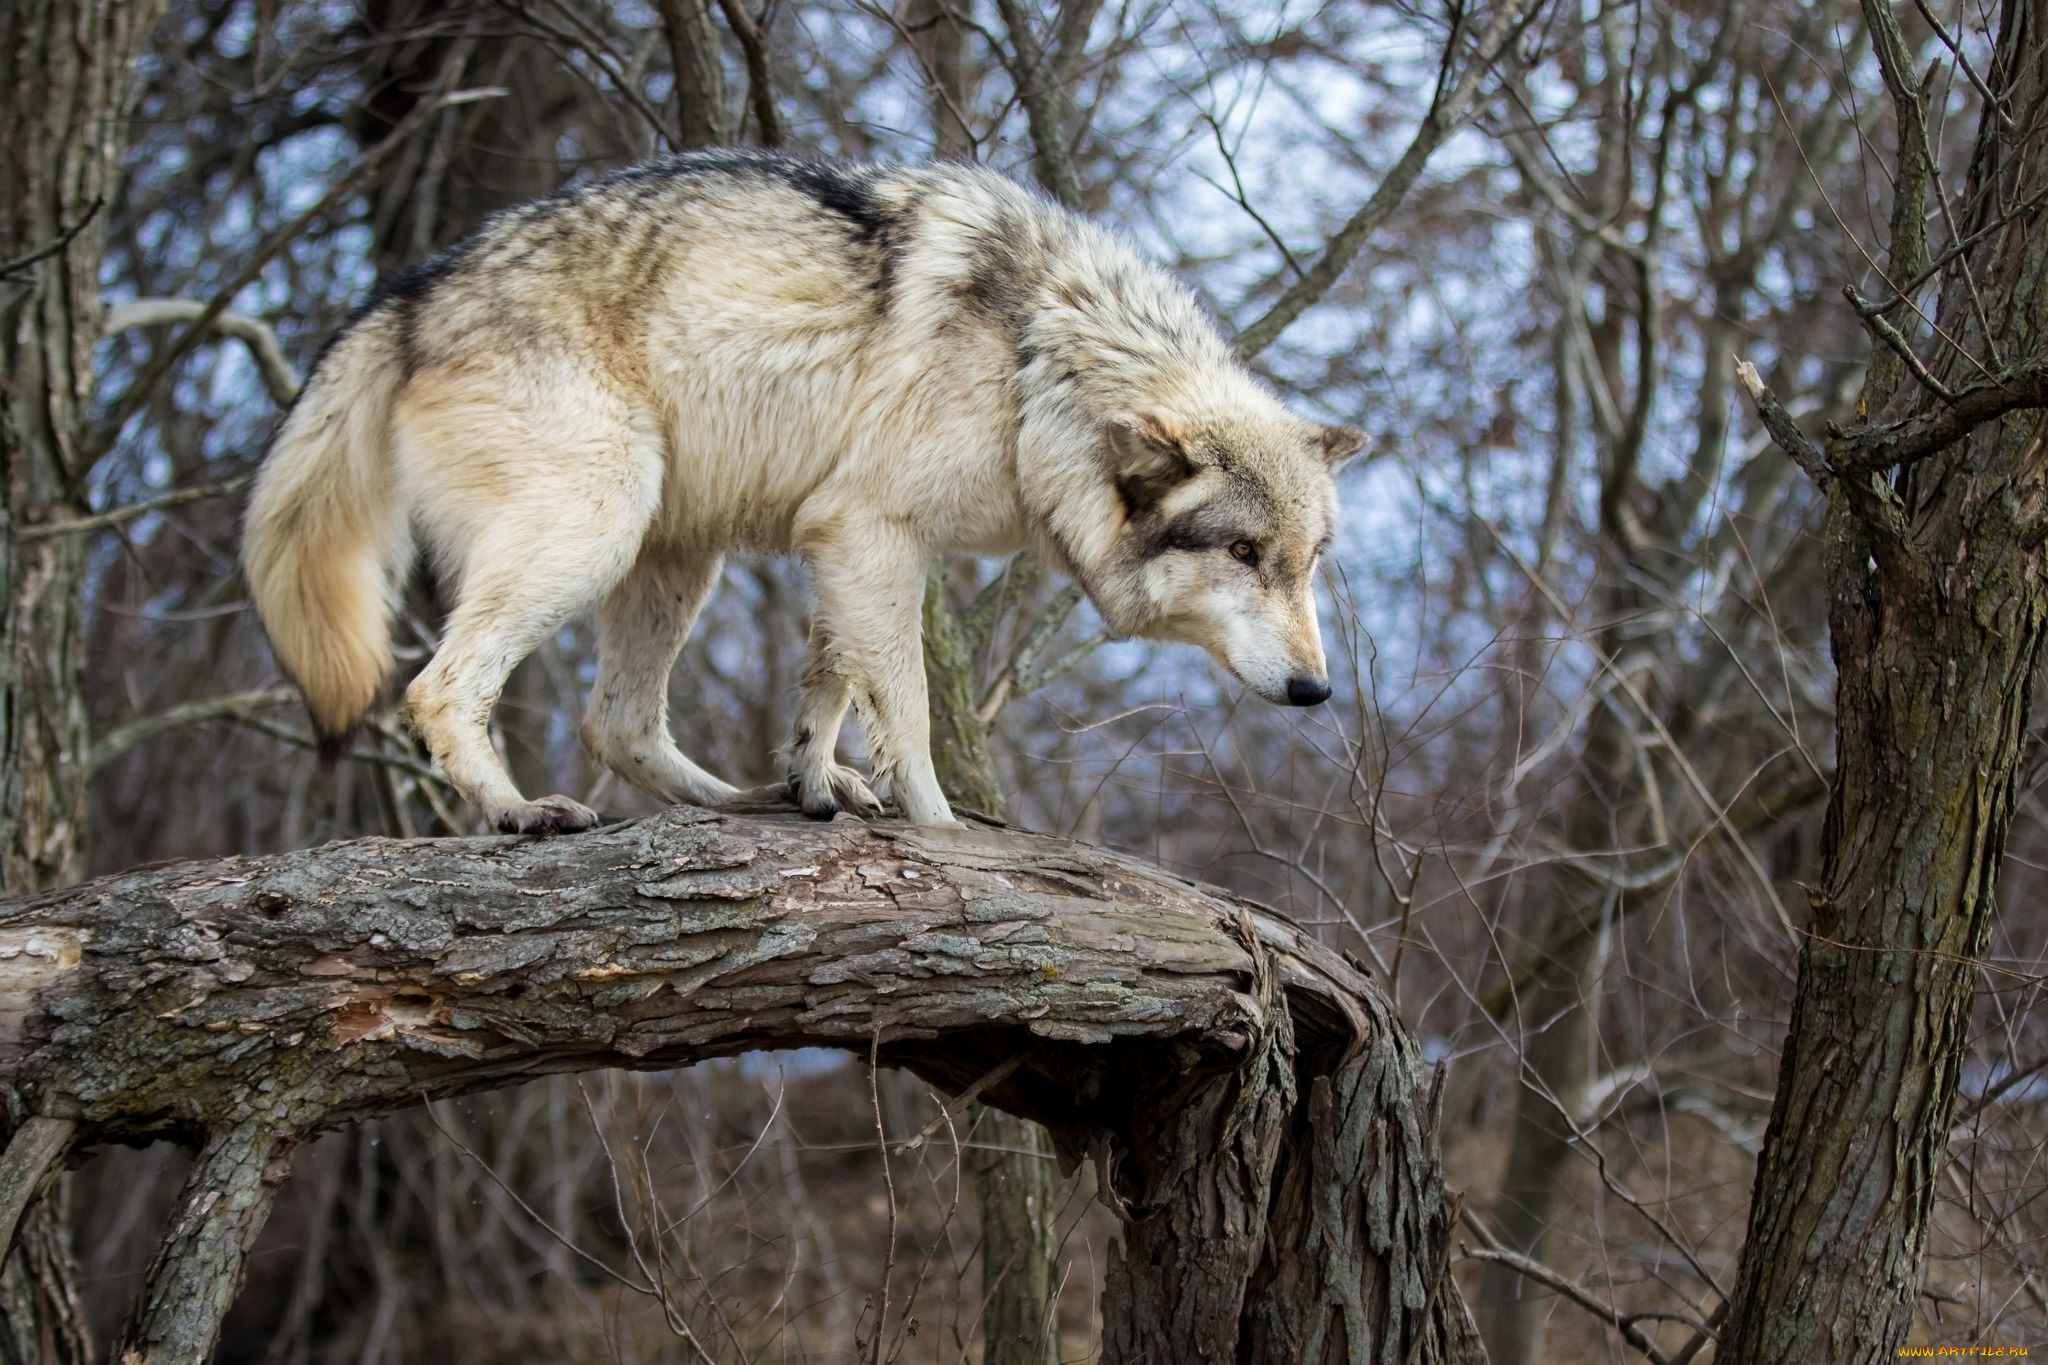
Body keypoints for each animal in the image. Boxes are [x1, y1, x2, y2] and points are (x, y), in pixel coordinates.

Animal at [243, 149, 1359, 834]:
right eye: (1243, 554)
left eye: (1305, 564)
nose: (1317, 691)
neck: (1040, 361)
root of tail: (408, 294)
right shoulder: (873, 534)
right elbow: (904, 711)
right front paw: (943, 832)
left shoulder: (840, 540)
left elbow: (826, 682)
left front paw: (814, 780)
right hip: (596, 526)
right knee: (438, 688)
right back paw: (520, 813)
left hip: (673, 555)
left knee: (617, 723)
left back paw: (735, 800)